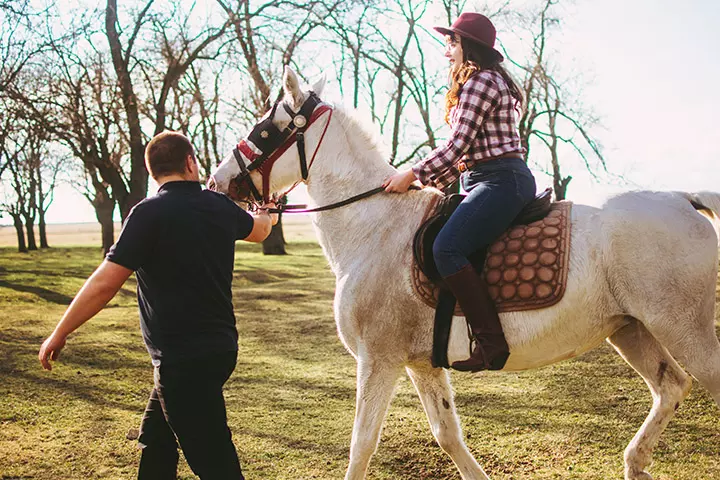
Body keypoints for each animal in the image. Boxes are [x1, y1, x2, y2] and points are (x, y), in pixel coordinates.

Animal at [210, 67, 720, 480]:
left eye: (264, 130)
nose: (218, 180)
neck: (376, 226)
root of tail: (681, 197)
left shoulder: (379, 359)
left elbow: (362, 445)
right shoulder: (421, 364)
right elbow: (447, 434)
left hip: (681, 328)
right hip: (630, 329)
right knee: (670, 386)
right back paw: (635, 463)